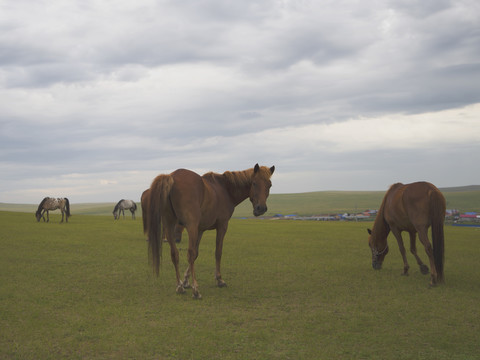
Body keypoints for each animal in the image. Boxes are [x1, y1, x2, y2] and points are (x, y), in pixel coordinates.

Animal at [145, 163, 274, 298]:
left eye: (269, 185)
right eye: (254, 183)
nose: (261, 208)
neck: (225, 189)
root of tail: (172, 177)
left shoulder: (200, 230)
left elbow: (196, 253)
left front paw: (185, 281)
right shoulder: (222, 226)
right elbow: (217, 252)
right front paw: (219, 279)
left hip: (169, 226)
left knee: (175, 254)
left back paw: (180, 286)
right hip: (190, 226)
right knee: (189, 253)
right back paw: (196, 290)